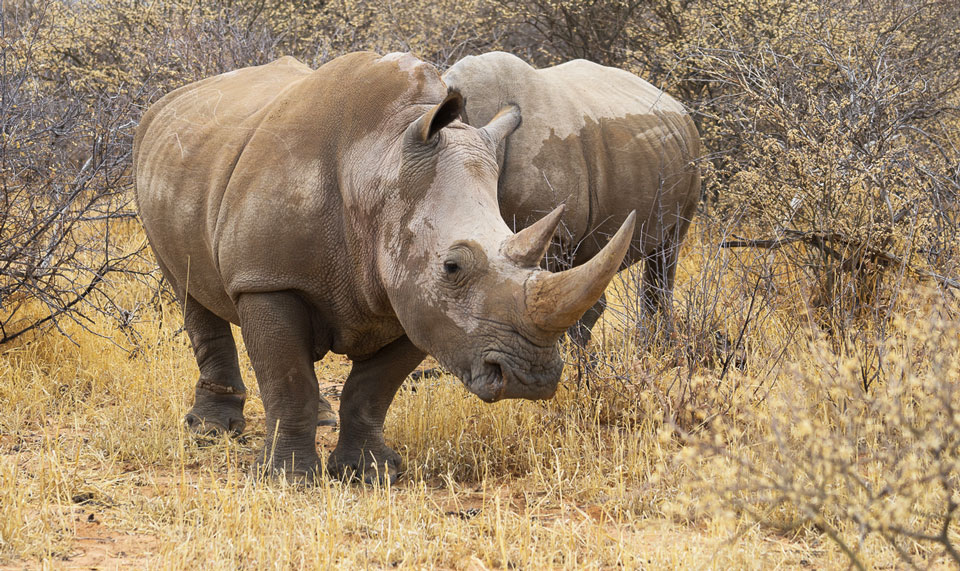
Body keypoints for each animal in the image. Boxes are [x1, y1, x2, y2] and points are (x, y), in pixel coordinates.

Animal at [133, 52, 635, 483]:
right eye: (452, 266)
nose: (529, 379)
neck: (380, 161)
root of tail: (167, 101)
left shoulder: (415, 297)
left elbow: (372, 390)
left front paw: (372, 473)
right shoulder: (267, 281)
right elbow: (287, 380)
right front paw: (288, 479)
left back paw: (319, 419)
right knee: (188, 291)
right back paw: (209, 431)